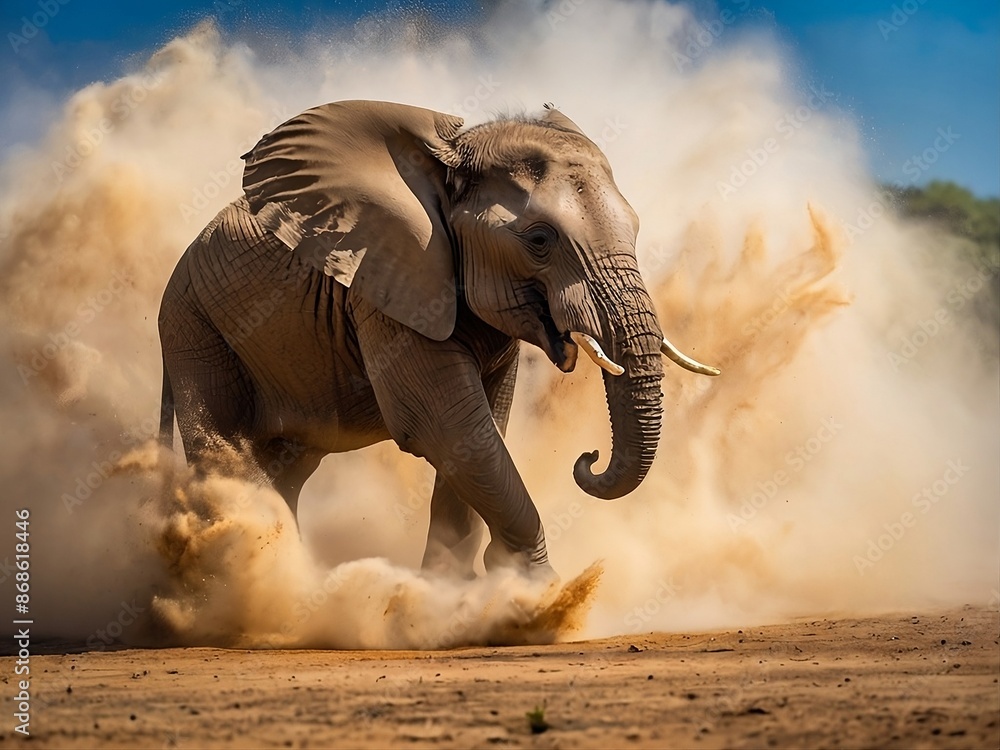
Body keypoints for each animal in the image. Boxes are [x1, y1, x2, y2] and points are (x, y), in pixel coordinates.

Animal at [157, 99, 718, 578]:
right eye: (539, 240)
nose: (588, 459)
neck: (450, 162)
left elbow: (481, 428)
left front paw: (456, 594)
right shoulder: (387, 288)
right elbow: (447, 427)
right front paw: (538, 595)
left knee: (287, 470)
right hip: (192, 326)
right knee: (227, 457)